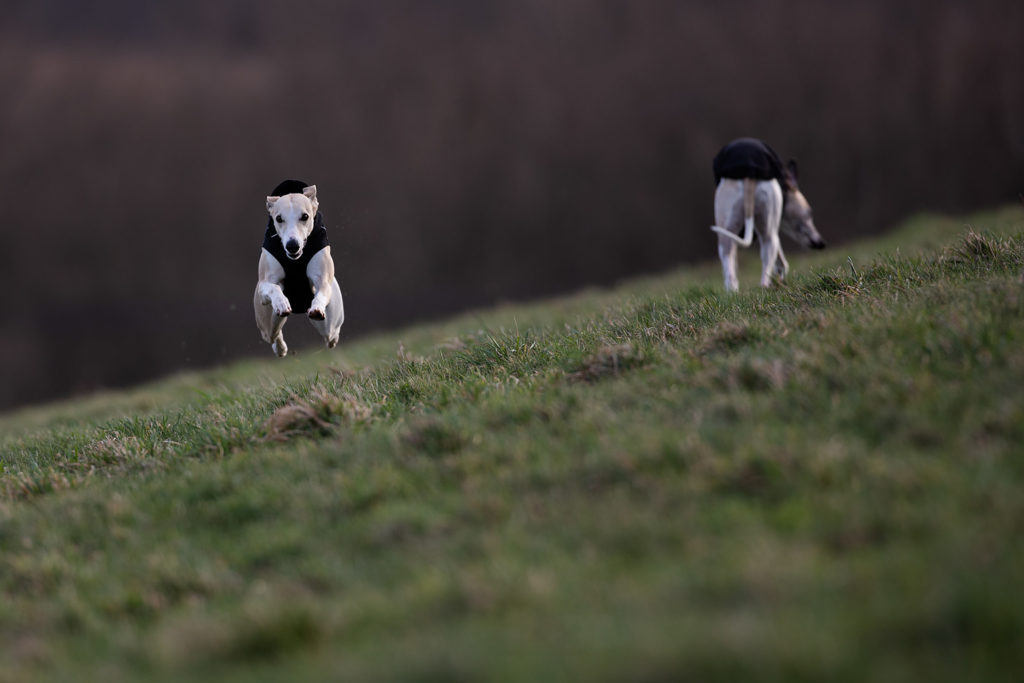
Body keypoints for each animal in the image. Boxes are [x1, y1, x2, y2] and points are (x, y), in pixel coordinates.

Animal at [251, 179, 344, 356]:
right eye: (279, 218)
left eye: (305, 216)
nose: (292, 245)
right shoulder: (263, 285)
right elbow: (272, 287)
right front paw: (281, 302)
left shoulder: (323, 280)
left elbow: (322, 290)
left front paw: (317, 307)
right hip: (266, 322)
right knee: (273, 334)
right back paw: (280, 348)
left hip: (330, 322)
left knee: (331, 334)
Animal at [712, 139, 823, 290]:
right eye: (809, 213)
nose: (820, 243)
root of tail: (750, 169)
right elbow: (782, 264)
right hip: (770, 234)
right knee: (766, 270)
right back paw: (768, 286)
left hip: (726, 232)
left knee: (730, 270)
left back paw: (733, 291)